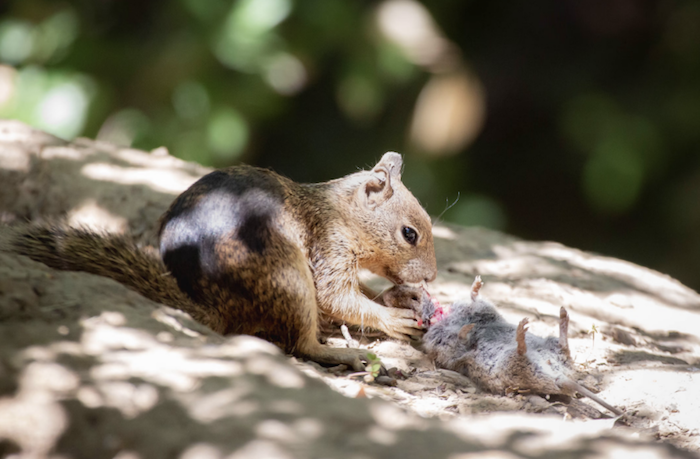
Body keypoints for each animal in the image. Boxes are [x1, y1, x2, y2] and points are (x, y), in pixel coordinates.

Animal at [8, 153, 438, 372]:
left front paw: (400, 298)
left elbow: (358, 293)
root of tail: (217, 308)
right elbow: (337, 297)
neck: (340, 212)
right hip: (289, 277)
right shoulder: (329, 247)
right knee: (300, 344)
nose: (433, 276)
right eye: (409, 234)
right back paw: (343, 353)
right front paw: (392, 318)